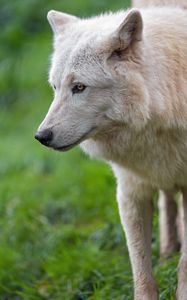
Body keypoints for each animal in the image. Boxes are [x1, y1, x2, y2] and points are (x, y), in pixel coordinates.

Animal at [35, 1, 187, 298]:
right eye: (55, 87)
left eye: (79, 87)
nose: (41, 136)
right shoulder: (130, 189)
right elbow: (141, 269)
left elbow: (185, 265)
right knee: (167, 200)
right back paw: (166, 250)